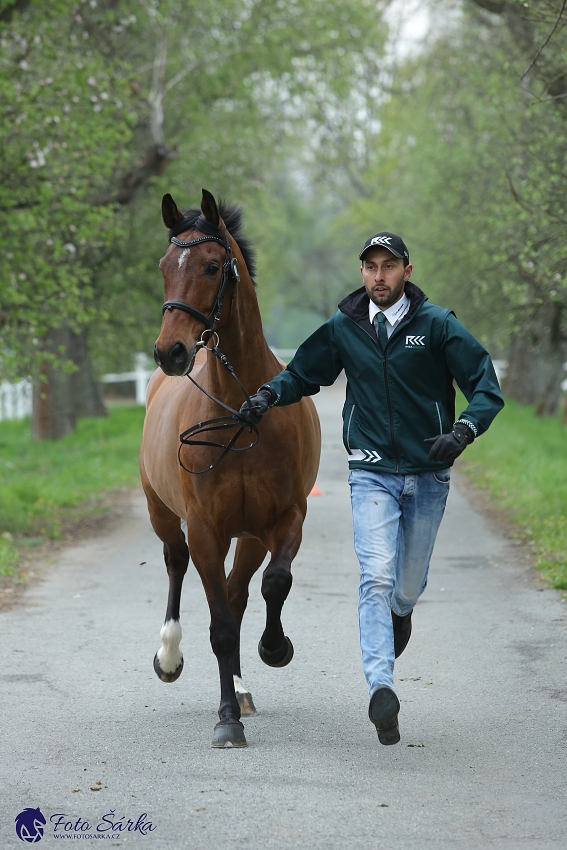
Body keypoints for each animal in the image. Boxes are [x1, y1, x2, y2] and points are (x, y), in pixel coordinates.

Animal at [140, 189, 322, 744]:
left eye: (212, 265)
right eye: (163, 266)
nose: (170, 351)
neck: (240, 413)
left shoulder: (282, 520)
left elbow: (272, 586)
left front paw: (275, 649)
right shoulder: (205, 529)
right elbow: (218, 623)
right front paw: (225, 722)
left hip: (248, 536)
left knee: (240, 593)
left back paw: (241, 689)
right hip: (162, 513)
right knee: (175, 564)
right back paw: (169, 656)